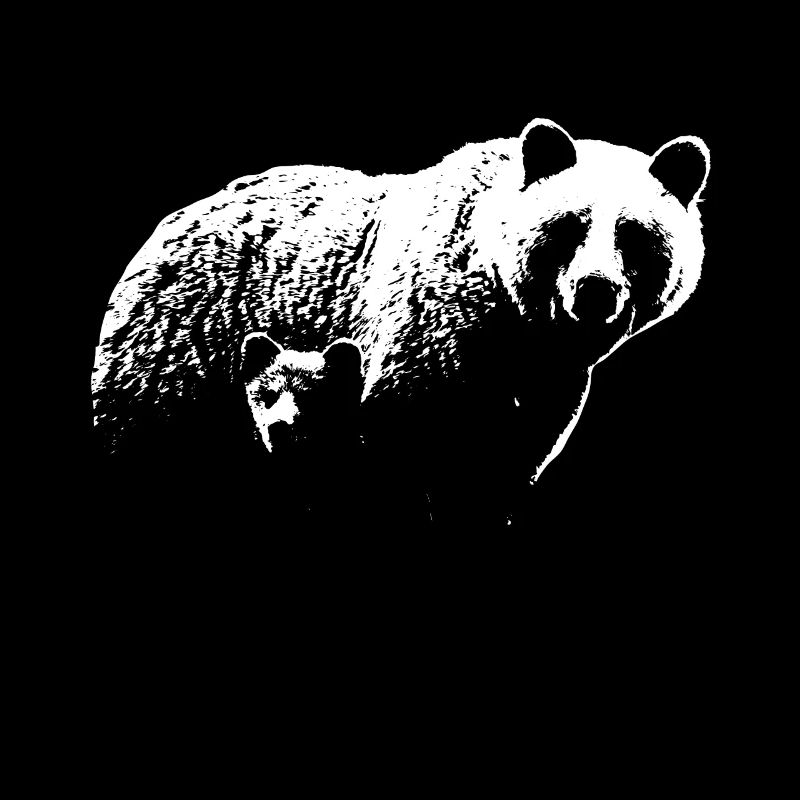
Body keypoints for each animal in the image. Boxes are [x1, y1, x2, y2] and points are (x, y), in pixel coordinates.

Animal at [93, 118, 709, 529]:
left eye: (633, 233)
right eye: (571, 225)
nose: (596, 290)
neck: (518, 333)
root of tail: (167, 224)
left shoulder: (536, 397)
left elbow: (499, 473)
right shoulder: (421, 350)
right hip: (171, 355)